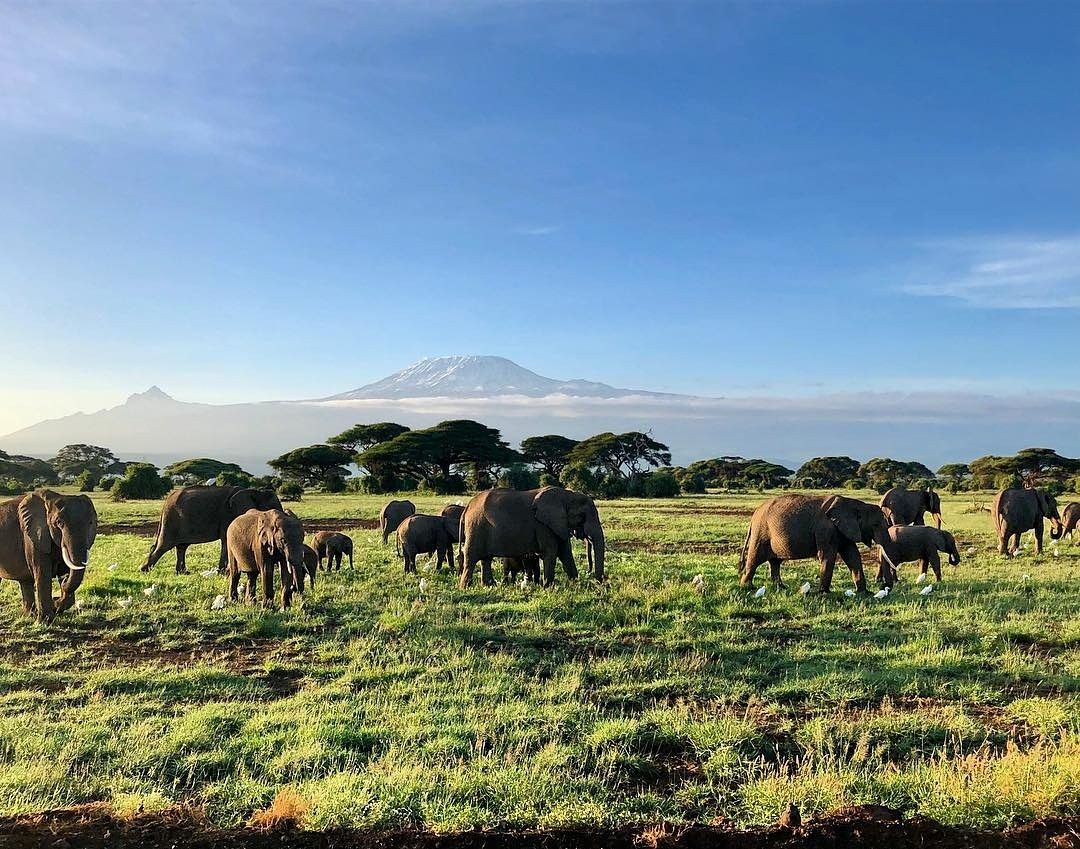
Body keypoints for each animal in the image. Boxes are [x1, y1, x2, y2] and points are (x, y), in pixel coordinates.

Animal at [0, 486, 97, 617]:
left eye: (90, 523)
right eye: (59, 522)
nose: (64, 578)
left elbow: (65, 567)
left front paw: (56, 606)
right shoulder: (33, 536)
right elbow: (42, 573)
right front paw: (45, 619)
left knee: (25, 581)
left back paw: (29, 615)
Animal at [140, 486, 282, 570]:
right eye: (270, 508)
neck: (255, 491)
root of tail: (166, 502)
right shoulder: (228, 515)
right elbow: (226, 539)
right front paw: (223, 572)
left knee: (181, 546)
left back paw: (182, 572)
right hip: (171, 520)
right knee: (163, 545)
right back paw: (145, 569)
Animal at [457, 483, 604, 587]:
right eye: (582, 517)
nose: (597, 582)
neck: (566, 495)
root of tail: (467, 507)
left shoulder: (557, 524)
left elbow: (565, 553)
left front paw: (576, 584)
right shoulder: (543, 525)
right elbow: (550, 552)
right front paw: (548, 587)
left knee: (486, 559)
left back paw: (489, 586)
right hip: (475, 526)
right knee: (471, 557)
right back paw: (465, 587)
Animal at [743, 492, 902, 591]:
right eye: (875, 525)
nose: (885, 587)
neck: (855, 504)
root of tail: (754, 515)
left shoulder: (843, 530)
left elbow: (852, 555)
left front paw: (864, 592)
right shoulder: (826, 529)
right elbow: (827, 556)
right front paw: (824, 593)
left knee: (775, 562)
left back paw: (781, 587)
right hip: (761, 532)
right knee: (755, 558)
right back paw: (747, 587)